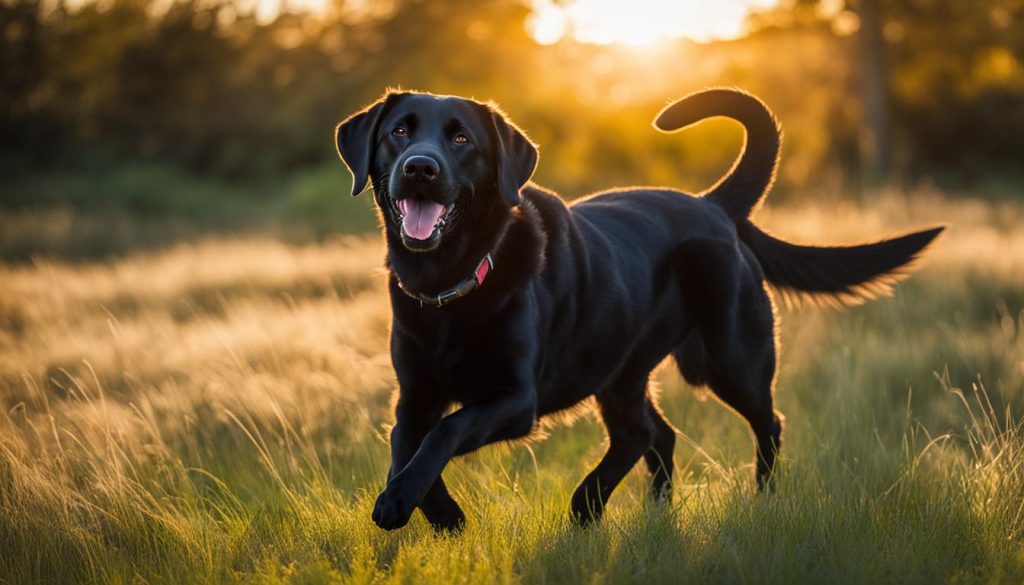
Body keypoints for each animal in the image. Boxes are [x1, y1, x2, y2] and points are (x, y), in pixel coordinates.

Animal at [335, 89, 942, 532]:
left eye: (461, 137)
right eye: (399, 132)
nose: (420, 168)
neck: (449, 285)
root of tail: (711, 204)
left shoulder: (515, 398)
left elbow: (446, 431)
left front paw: (415, 504)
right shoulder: (414, 394)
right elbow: (405, 441)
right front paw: (430, 509)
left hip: (728, 359)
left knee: (762, 422)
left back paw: (757, 499)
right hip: (620, 370)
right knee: (650, 433)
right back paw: (633, 512)